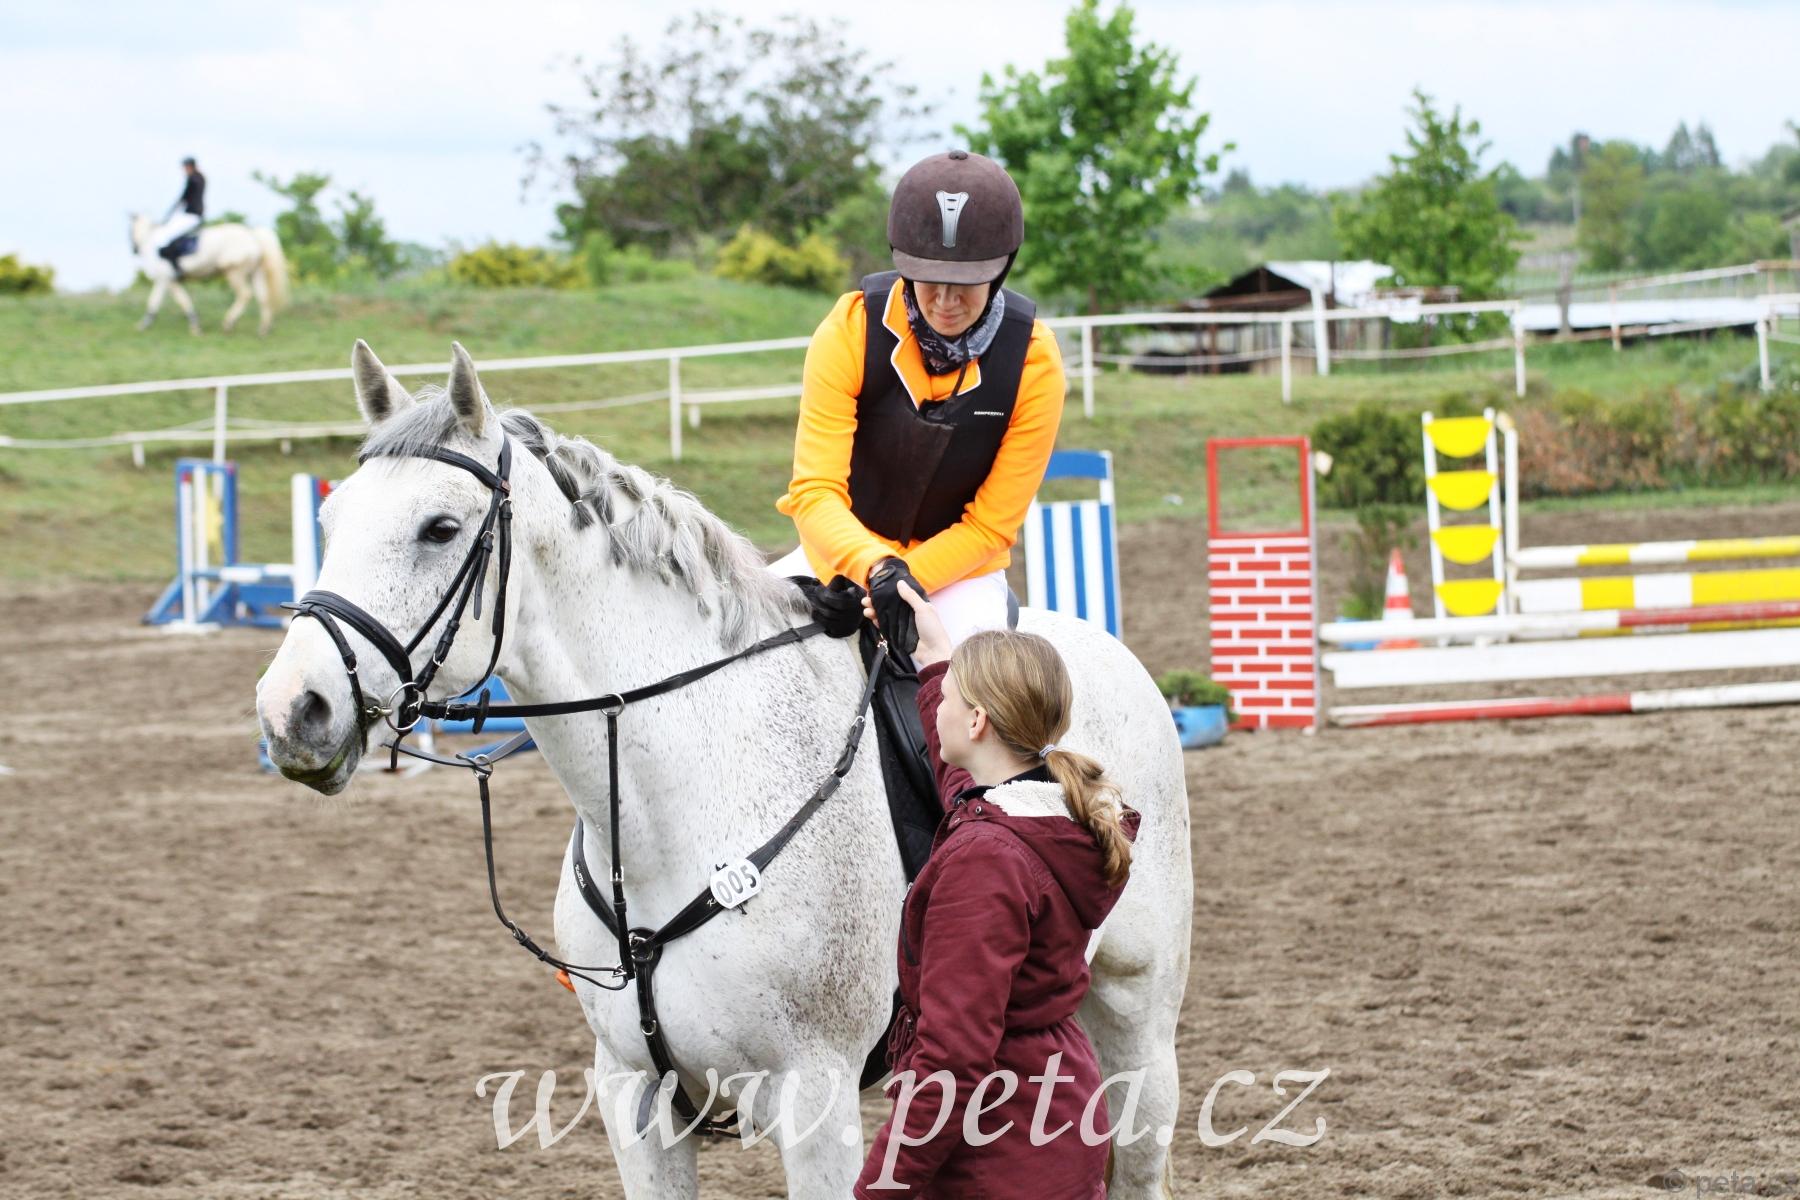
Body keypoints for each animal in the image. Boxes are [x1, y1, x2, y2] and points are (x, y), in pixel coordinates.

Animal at [128, 213, 289, 335]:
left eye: (129, 230)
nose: (134, 249)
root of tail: (254, 235)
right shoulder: (170, 280)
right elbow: (177, 300)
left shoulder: (165, 278)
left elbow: (161, 300)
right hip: (255, 272)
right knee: (263, 298)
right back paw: (263, 329)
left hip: (235, 272)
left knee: (245, 294)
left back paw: (229, 323)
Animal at [255, 341, 1192, 1198]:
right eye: (330, 525)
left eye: (440, 530)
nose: (291, 710)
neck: (675, 809)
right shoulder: (637, 1102)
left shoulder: (816, 1106)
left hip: (1140, 1033)